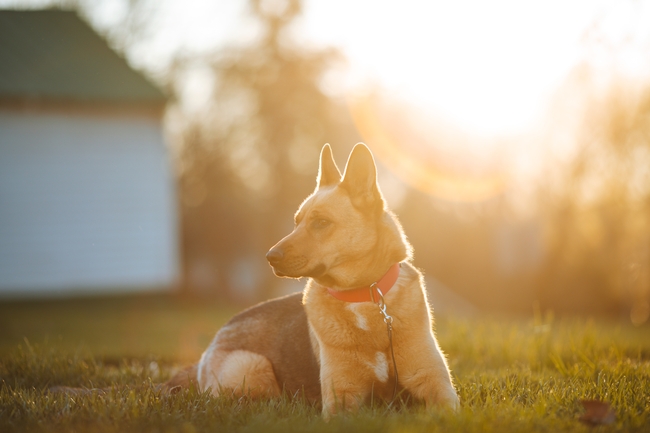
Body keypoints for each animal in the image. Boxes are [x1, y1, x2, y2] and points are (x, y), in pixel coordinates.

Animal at [195, 143, 458, 416]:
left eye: (321, 222)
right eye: (296, 222)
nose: (270, 257)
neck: (363, 295)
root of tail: (215, 339)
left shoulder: (436, 385)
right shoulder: (340, 397)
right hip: (253, 366)